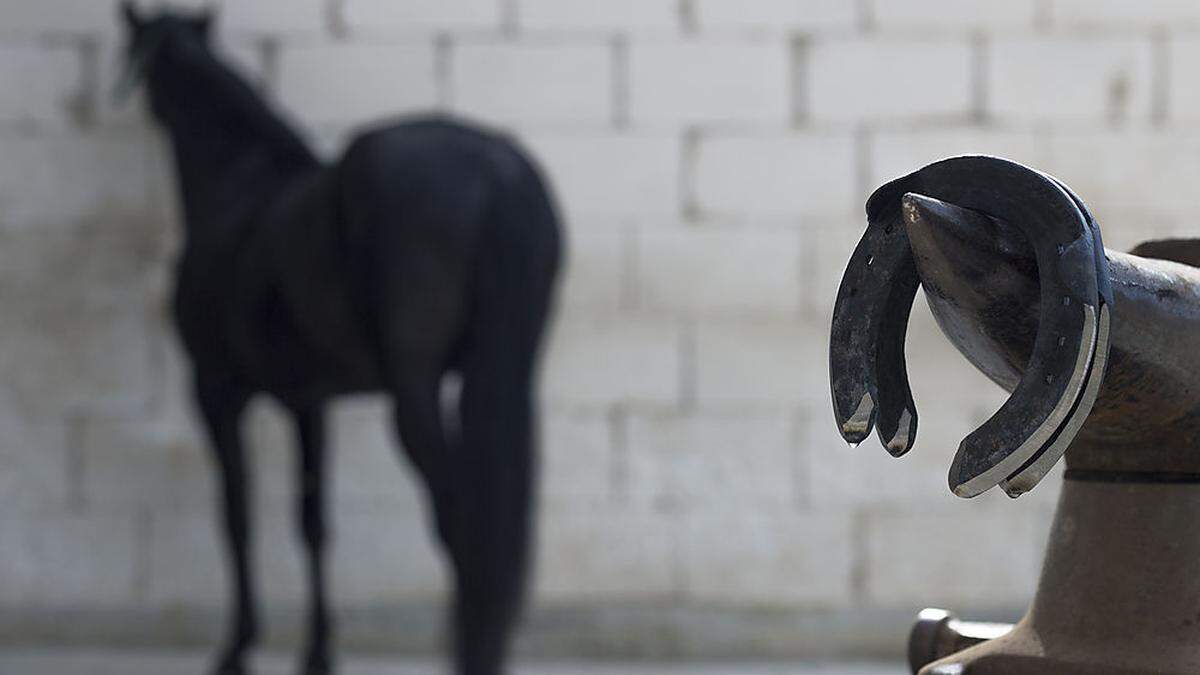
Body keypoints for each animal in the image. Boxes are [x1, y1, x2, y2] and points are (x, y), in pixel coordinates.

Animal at [115, 5, 561, 672]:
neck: (237, 184)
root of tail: (497, 174)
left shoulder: (215, 391)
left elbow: (237, 514)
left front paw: (237, 648)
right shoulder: (310, 403)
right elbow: (313, 520)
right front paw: (319, 651)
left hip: (414, 395)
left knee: (461, 525)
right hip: (503, 377)